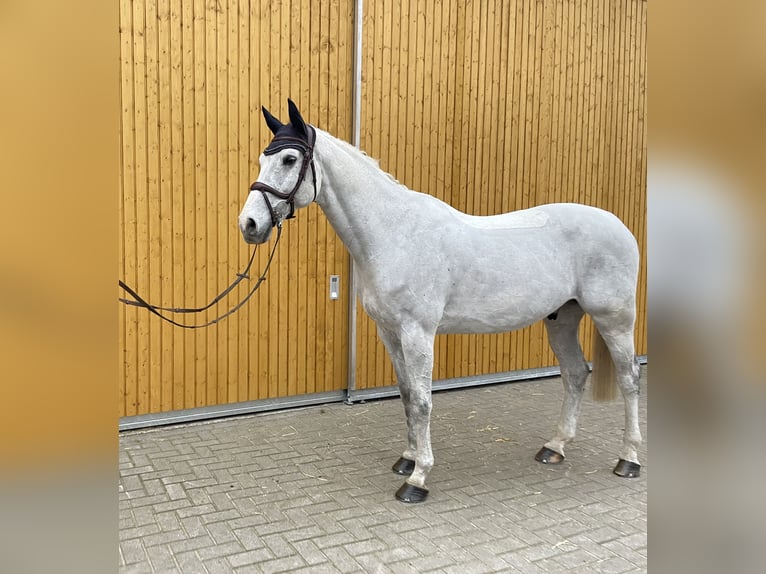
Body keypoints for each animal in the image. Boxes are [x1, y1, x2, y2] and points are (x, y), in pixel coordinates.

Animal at [238, 99, 642, 503]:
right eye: (262, 159)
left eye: (289, 159)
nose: (250, 225)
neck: (394, 233)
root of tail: (619, 226)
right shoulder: (390, 332)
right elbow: (405, 395)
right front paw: (407, 459)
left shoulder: (418, 332)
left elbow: (422, 400)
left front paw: (417, 479)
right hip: (563, 318)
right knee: (575, 374)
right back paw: (554, 447)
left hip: (614, 319)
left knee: (629, 379)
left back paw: (629, 460)